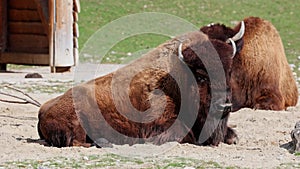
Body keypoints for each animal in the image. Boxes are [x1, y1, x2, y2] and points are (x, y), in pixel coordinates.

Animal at [38, 28, 244, 147]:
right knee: (77, 142)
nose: (224, 106)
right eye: (201, 76)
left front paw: (232, 137)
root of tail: (42, 112)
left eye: (229, 71)